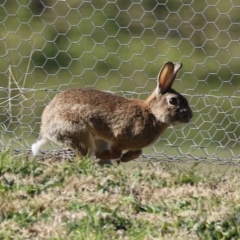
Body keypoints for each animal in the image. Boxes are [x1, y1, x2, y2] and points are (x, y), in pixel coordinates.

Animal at [31, 61, 193, 165]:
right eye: (173, 101)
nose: (190, 116)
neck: (152, 113)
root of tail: (45, 128)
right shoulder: (119, 137)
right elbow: (116, 152)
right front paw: (112, 157)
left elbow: (138, 152)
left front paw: (126, 158)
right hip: (78, 133)